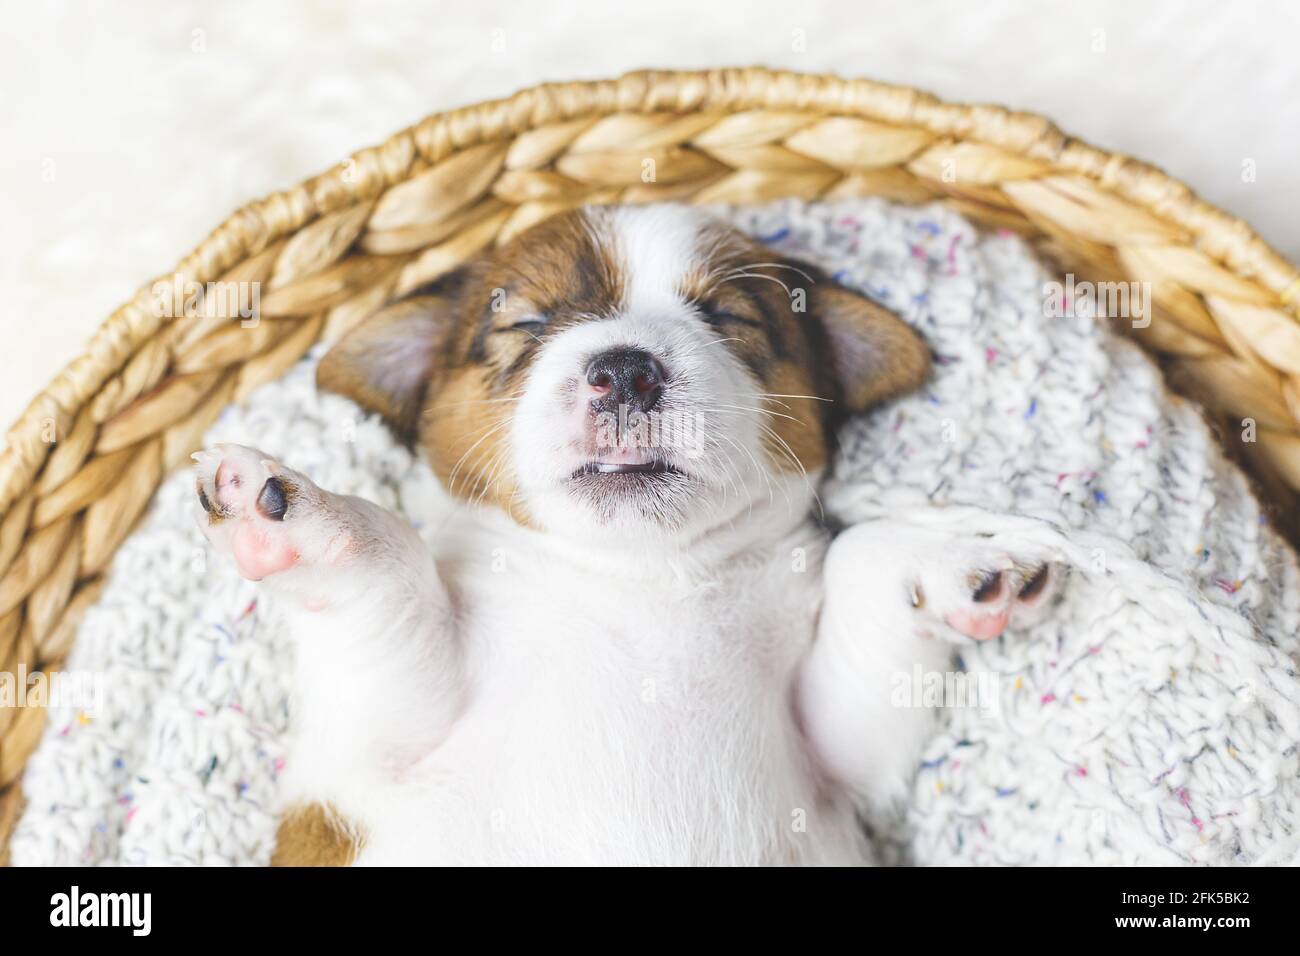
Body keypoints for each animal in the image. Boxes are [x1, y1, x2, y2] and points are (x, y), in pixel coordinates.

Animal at [195, 204, 1066, 868]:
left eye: (727, 316)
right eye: (528, 321)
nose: (624, 370)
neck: (637, 579)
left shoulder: (836, 748)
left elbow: (859, 563)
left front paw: (953, 560)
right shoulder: (370, 749)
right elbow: (391, 561)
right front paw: (297, 511)